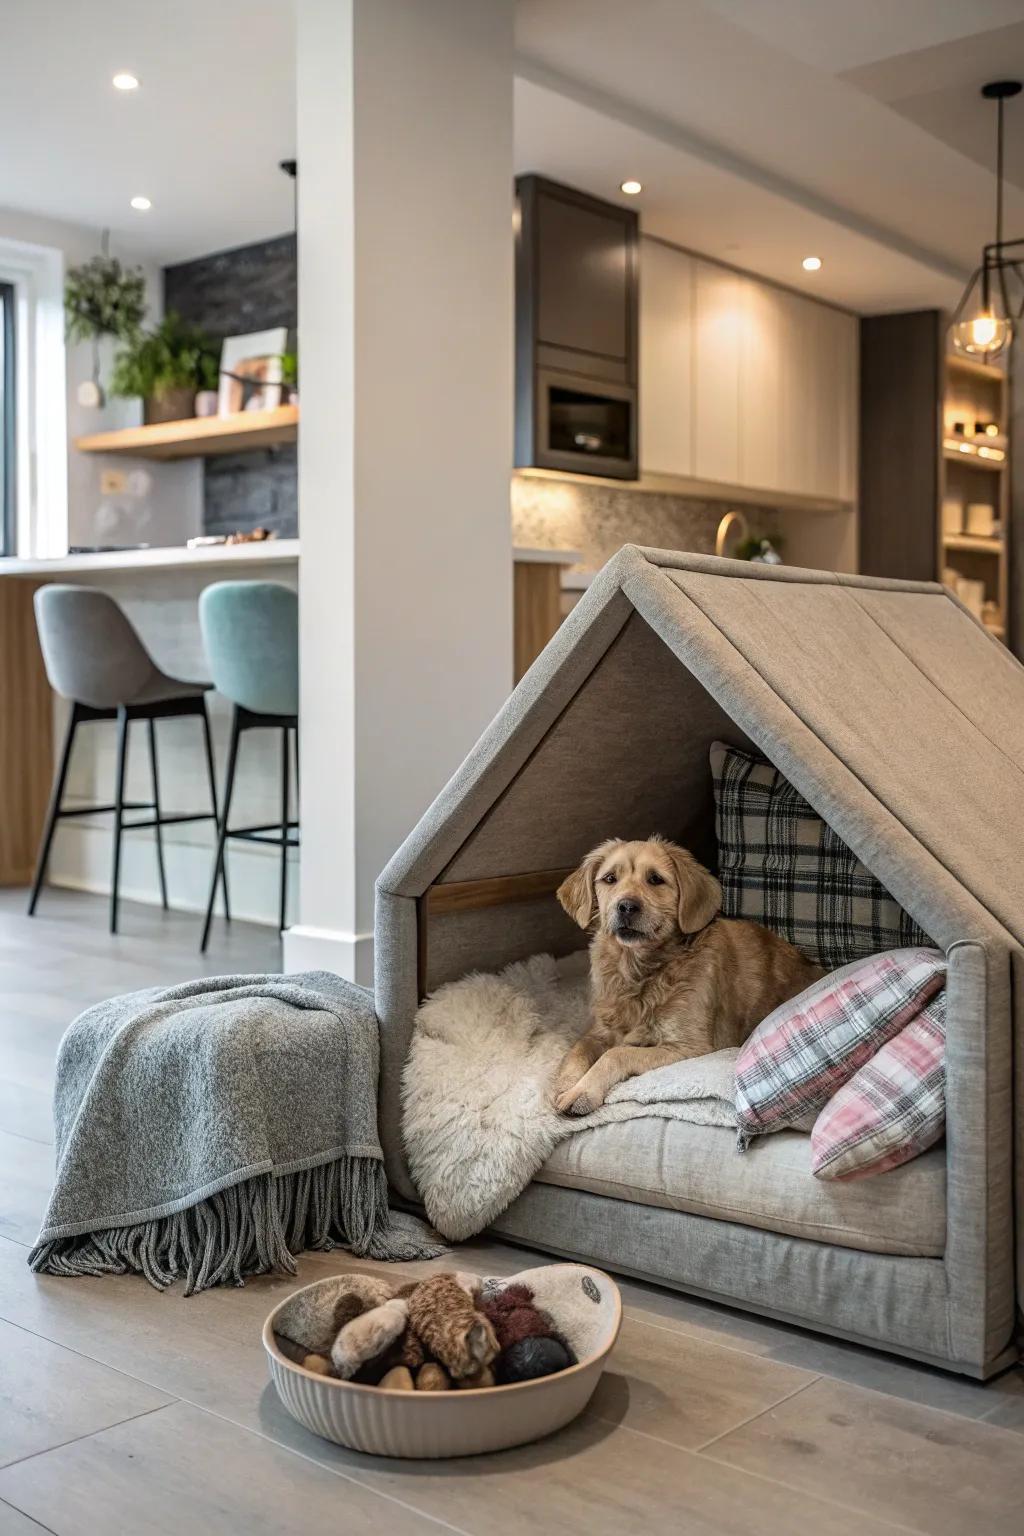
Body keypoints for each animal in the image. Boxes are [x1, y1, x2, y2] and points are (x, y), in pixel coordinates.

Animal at [552, 841, 822, 1118]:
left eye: (655, 879)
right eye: (609, 878)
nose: (626, 906)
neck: (641, 973)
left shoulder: (690, 1047)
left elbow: (617, 1054)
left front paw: (583, 1091)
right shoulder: (600, 1031)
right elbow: (577, 1050)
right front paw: (569, 1085)